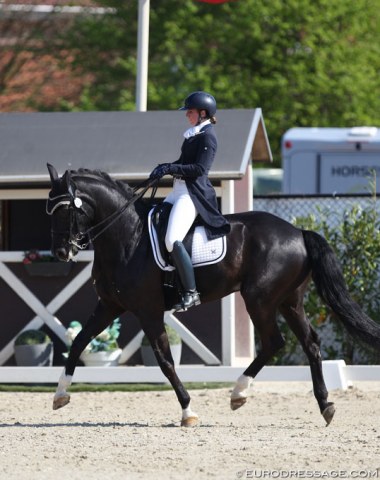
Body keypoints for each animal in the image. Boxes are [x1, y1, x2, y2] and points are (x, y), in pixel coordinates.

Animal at [46, 163, 380, 426]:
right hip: (289, 301)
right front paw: (60, 394)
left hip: (259, 299)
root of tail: (298, 232)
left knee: (275, 341)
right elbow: (78, 342)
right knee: (310, 343)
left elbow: (165, 361)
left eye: (66, 211)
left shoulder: (148, 310)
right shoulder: (109, 305)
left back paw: (238, 393)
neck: (127, 236)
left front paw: (188, 411)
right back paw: (325, 406)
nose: (61, 252)